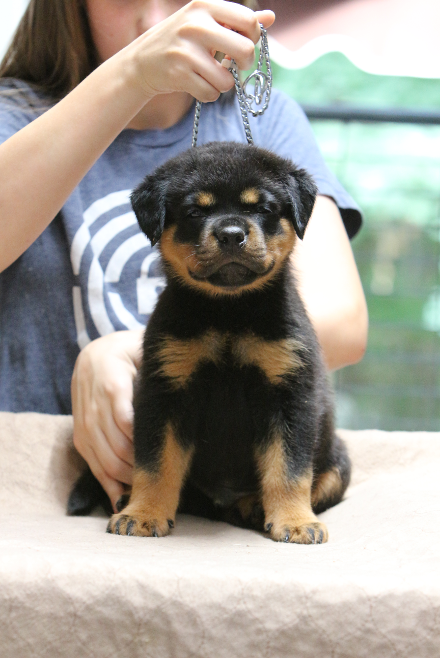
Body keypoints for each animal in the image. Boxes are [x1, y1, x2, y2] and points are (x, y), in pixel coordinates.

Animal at [71, 141, 350, 540]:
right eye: (194, 212)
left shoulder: (289, 393)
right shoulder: (165, 390)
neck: (227, 314)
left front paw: (296, 522)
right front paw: (143, 514)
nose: (231, 234)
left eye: (262, 208)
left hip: (338, 458)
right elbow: (155, 463)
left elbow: (290, 467)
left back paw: (255, 506)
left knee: (320, 482)